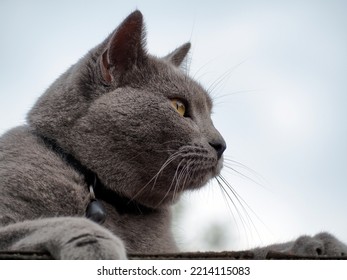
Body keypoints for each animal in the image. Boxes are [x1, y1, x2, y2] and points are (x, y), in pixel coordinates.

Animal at [0, 10, 346, 260]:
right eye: (179, 107)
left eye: (210, 113)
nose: (221, 144)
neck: (106, 195)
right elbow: (56, 222)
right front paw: (100, 246)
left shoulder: (172, 251)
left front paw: (319, 245)